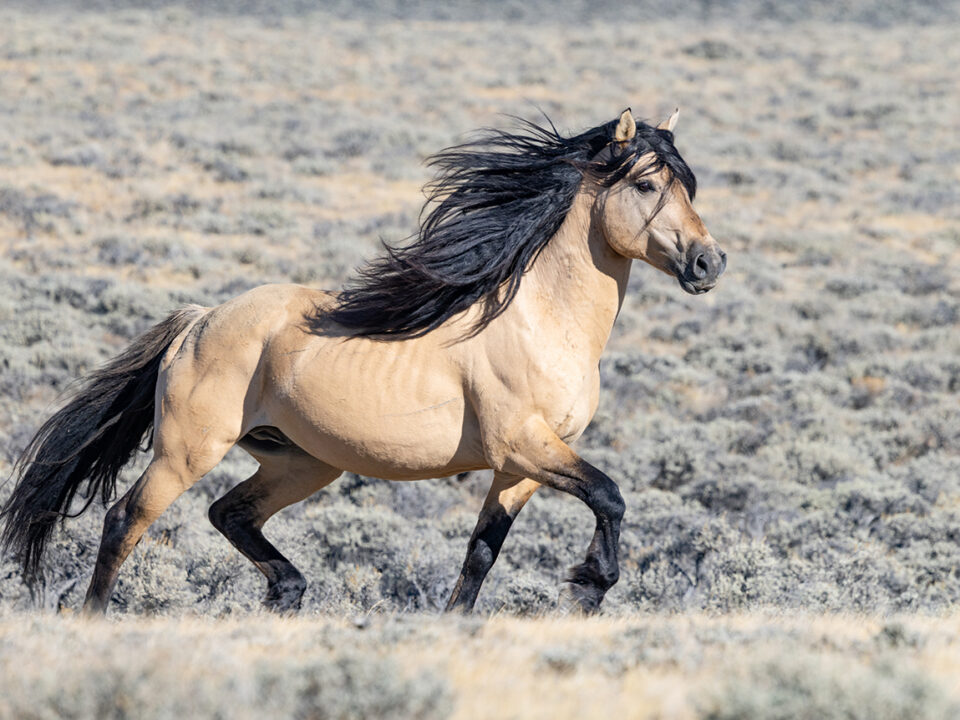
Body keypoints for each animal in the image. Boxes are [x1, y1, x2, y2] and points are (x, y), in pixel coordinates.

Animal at [1, 108, 725, 615]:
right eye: (646, 183)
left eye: (689, 185)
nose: (708, 262)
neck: (540, 320)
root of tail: (200, 319)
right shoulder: (524, 443)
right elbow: (610, 494)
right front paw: (589, 585)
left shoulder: (518, 469)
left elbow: (481, 553)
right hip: (188, 450)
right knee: (125, 521)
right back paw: (96, 619)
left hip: (301, 462)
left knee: (229, 514)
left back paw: (289, 592)